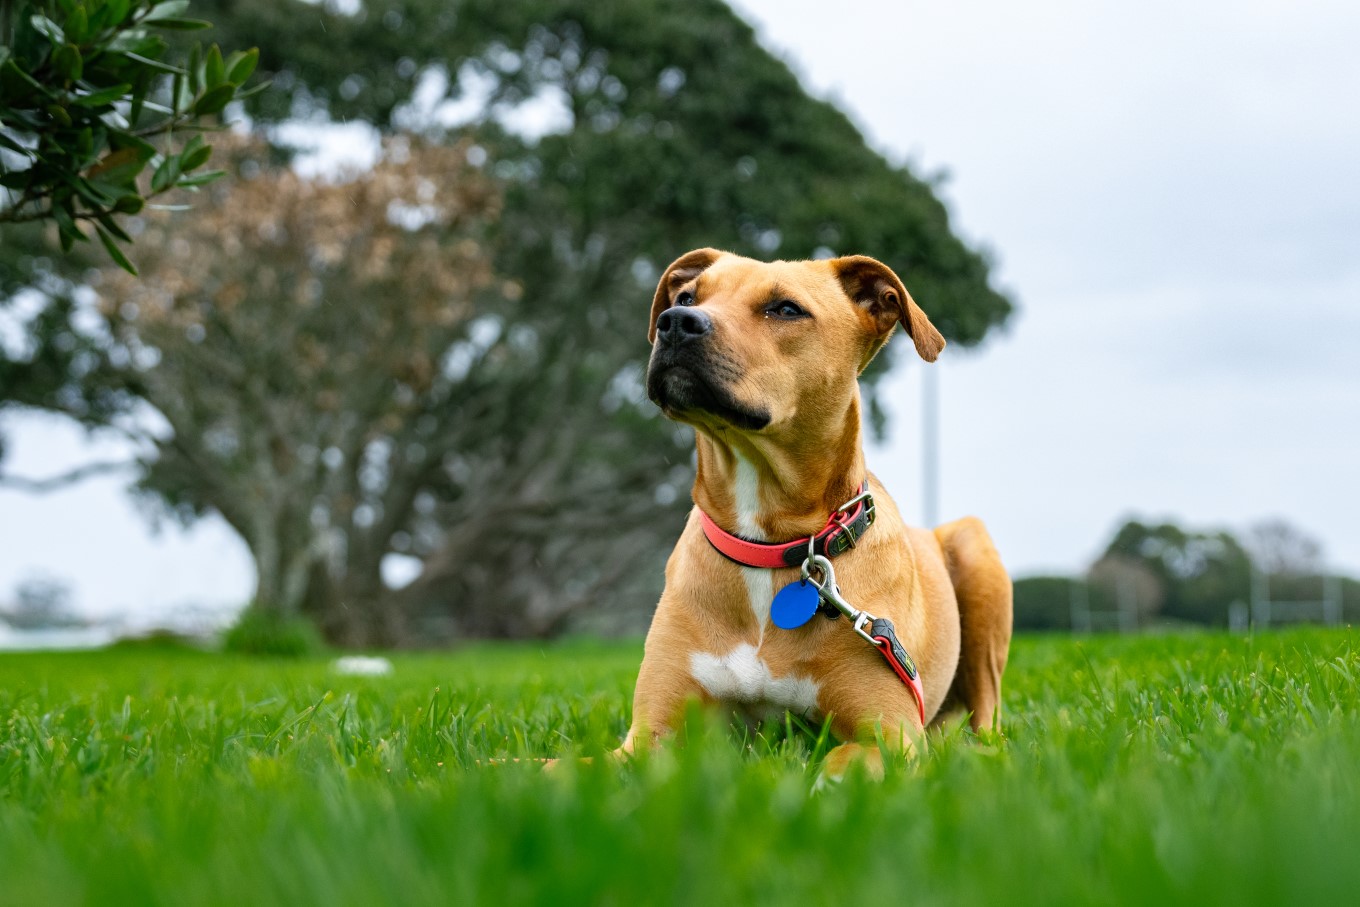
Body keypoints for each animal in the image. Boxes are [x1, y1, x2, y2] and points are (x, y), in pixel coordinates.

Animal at [622, 250, 1011, 783]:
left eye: (786, 309)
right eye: (686, 296)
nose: (676, 322)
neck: (768, 544)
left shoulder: (891, 733)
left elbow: (839, 762)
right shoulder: (648, 735)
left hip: (973, 547)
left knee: (987, 721)